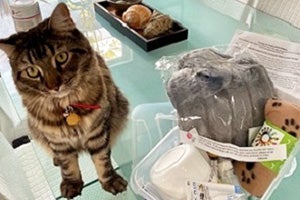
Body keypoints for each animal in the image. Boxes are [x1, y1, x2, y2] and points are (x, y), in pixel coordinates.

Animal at [0, 2, 127, 198]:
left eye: (61, 57)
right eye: (32, 71)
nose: (54, 86)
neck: (67, 107)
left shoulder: (98, 132)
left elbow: (102, 160)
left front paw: (110, 181)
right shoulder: (58, 141)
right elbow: (68, 165)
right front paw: (72, 184)